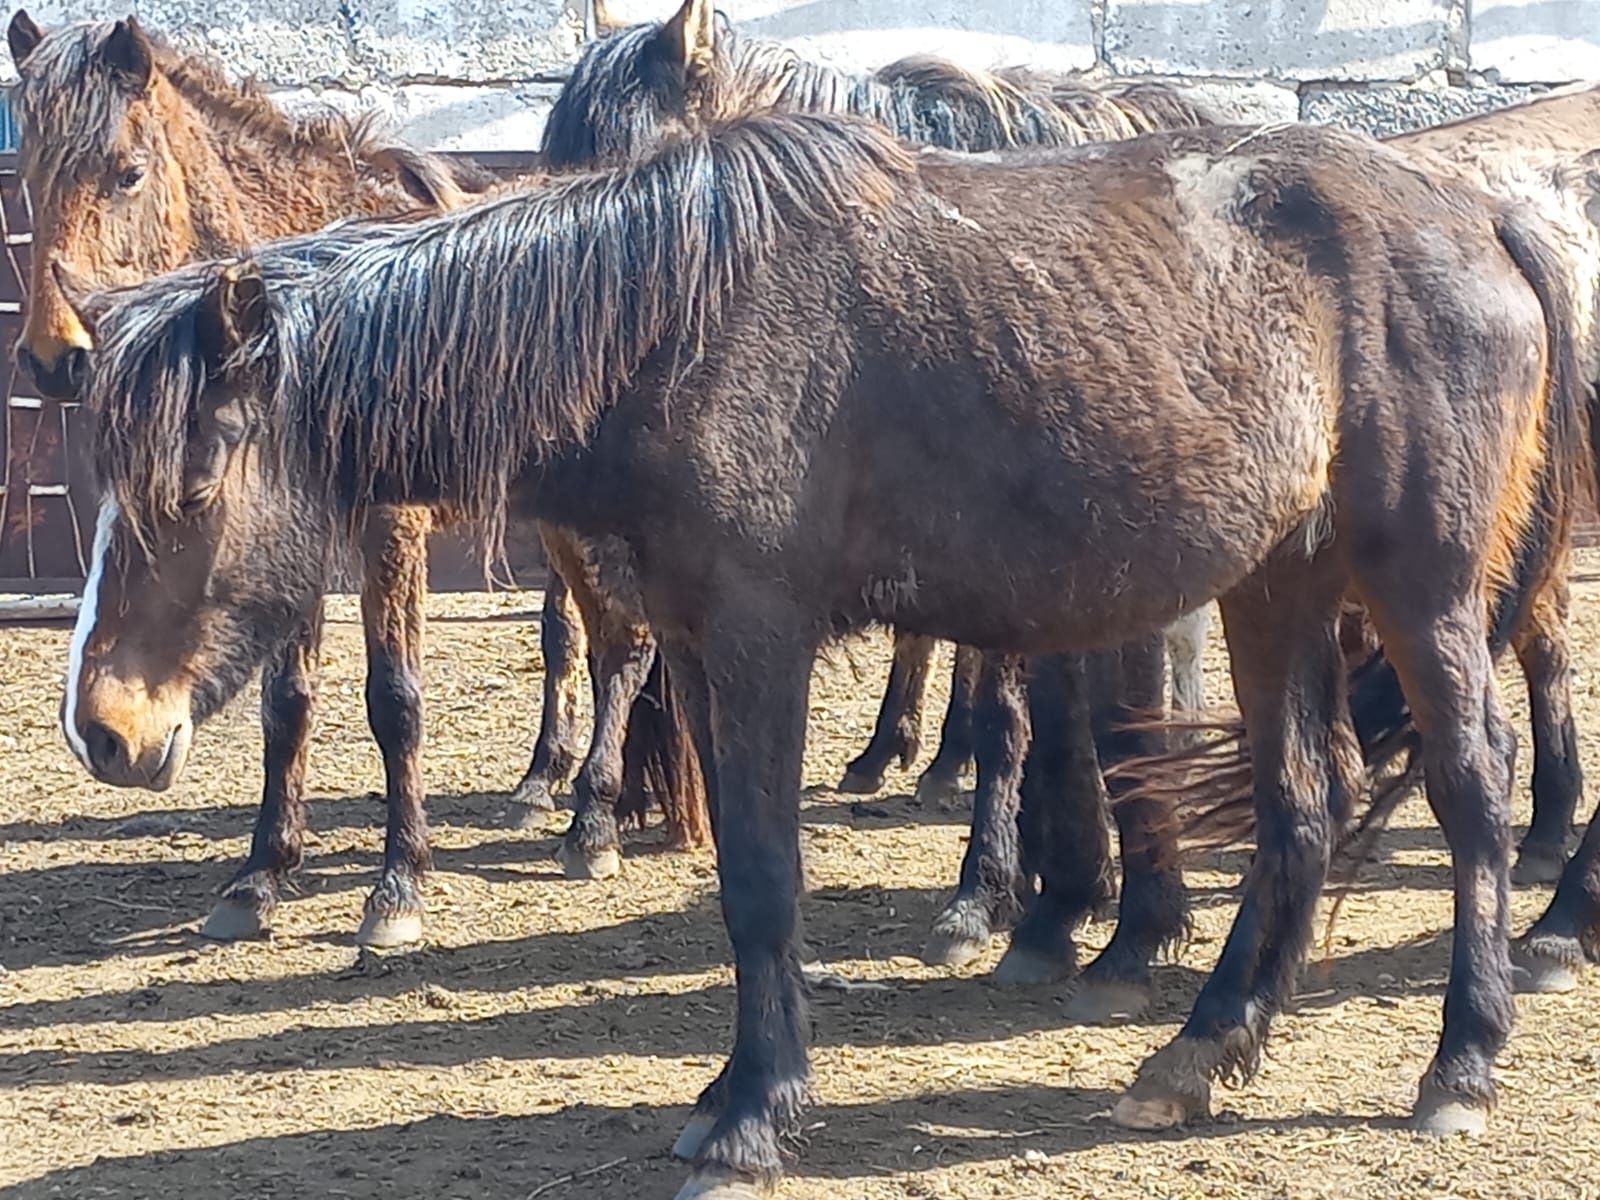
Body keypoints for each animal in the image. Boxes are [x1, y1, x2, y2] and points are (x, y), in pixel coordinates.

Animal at [65, 110, 1587, 1196]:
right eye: (103, 488)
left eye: (189, 490)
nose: (105, 731)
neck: (673, 325)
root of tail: (1486, 213)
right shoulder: (692, 638)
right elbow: (747, 877)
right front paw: (740, 1094)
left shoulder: (758, 638)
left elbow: (762, 878)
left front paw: (751, 1117)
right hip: (1278, 583)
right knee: (1299, 806)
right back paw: (1202, 1052)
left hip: (1421, 585)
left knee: (1474, 787)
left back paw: (1462, 1064)